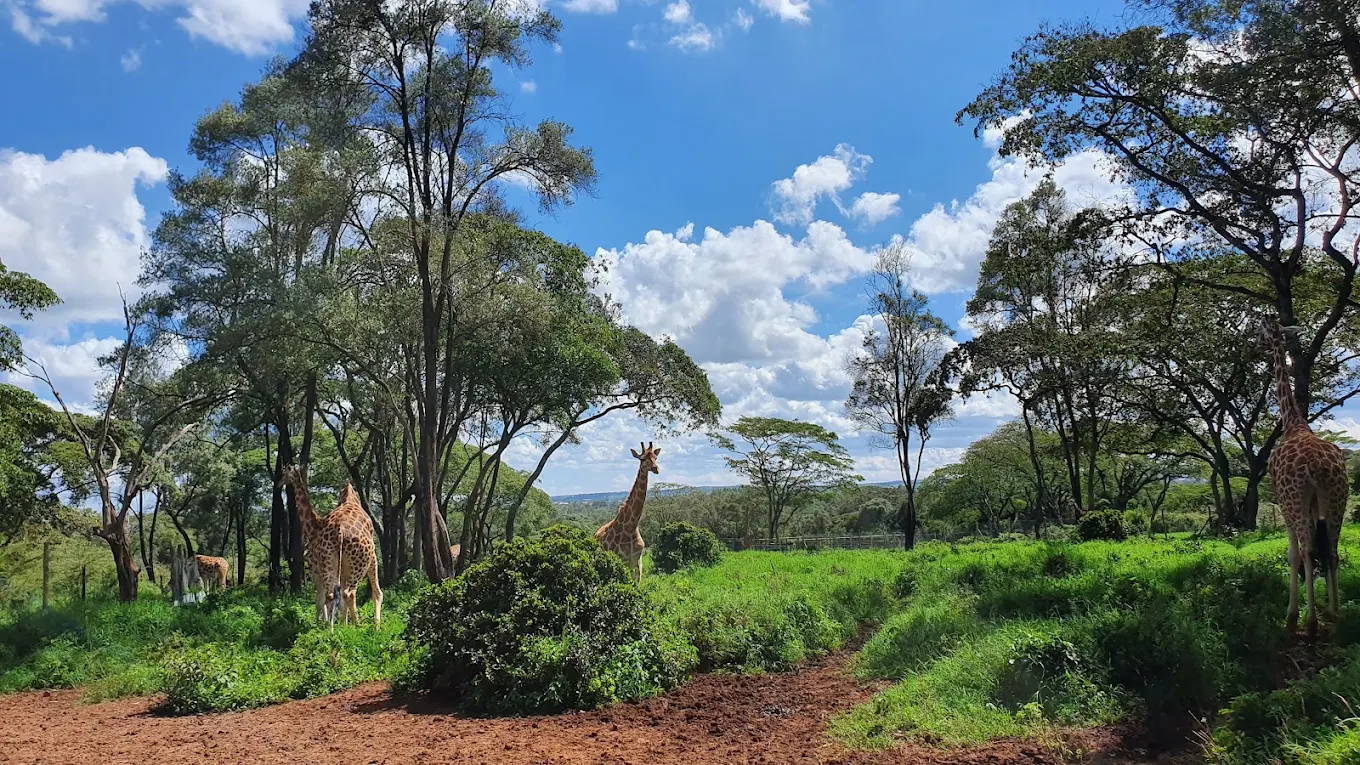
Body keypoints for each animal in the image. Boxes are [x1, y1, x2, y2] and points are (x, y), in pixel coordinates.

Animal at [278, 465, 383, 628]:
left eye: (284, 474)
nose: (278, 484)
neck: (313, 528)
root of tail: (340, 531)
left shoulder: (316, 569)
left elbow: (321, 600)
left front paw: (327, 622)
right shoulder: (320, 569)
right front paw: (337, 623)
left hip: (343, 563)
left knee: (340, 594)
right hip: (349, 562)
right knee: (348, 593)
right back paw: (355, 625)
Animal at [595, 442, 660, 582]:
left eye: (655, 457)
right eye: (642, 459)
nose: (656, 468)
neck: (631, 527)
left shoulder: (637, 564)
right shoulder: (620, 561)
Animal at [1260, 315, 1348, 637]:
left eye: (1260, 330)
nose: (1255, 345)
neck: (1292, 423)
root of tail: (1318, 467)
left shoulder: (1285, 503)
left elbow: (1294, 555)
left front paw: (1292, 615)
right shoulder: (1314, 506)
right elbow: (1321, 551)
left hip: (1295, 499)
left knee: (1309, 551)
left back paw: (1309, 623)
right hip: (1336, 498)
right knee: (1332, 551)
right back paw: (1336, 614)